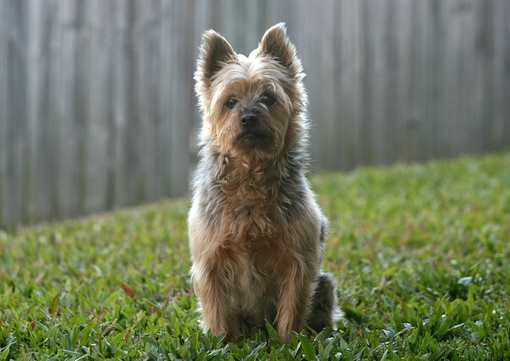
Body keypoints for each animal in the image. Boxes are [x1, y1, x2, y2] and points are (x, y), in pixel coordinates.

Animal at [187, 23, 338, 340]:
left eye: (268, 98)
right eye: (230, 102)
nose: (248, 117)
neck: (251, 172)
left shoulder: (298, 260)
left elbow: (293, 304)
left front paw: (288, 340)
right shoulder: (211, 260)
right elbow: (217, 308)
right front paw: (224, 341)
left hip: (325, 283)